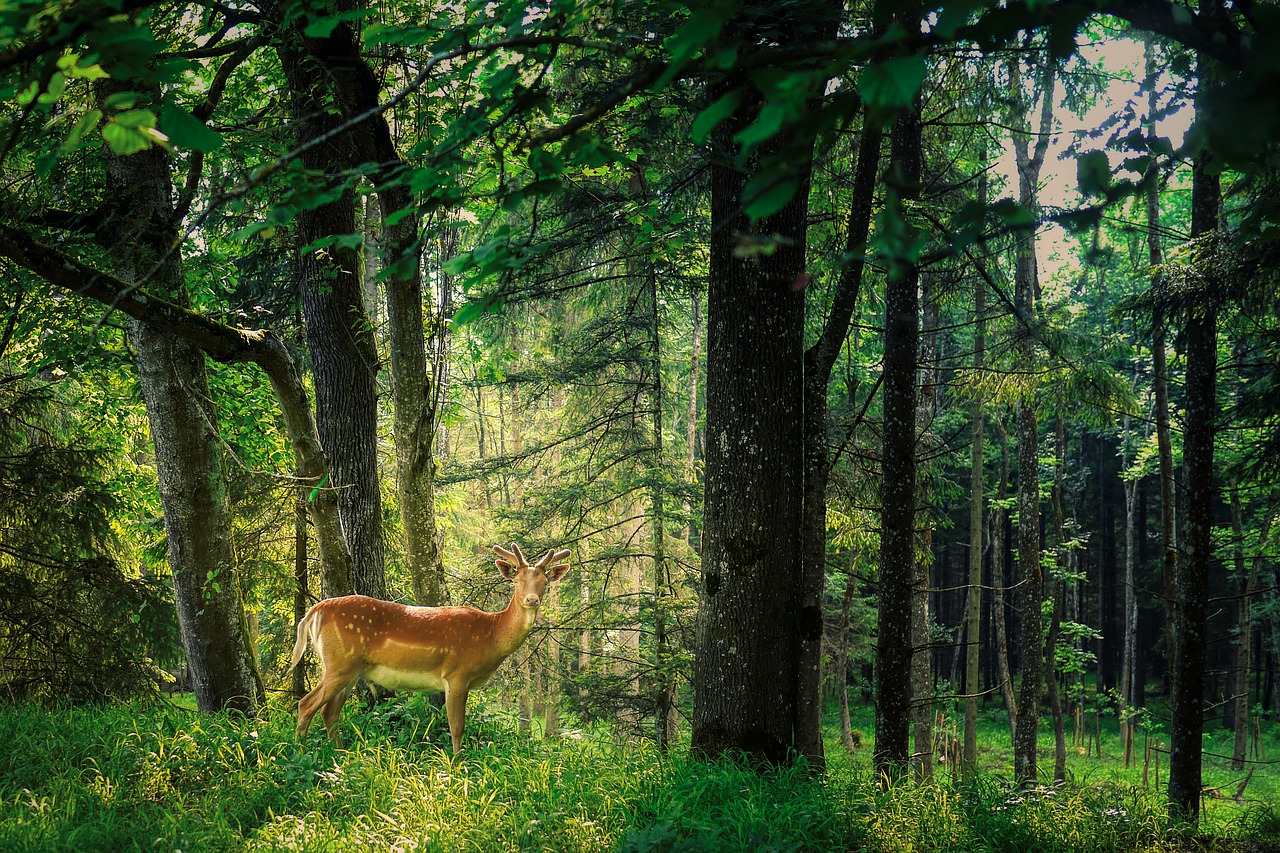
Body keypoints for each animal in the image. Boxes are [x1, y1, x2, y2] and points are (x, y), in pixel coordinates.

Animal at [293, 540, 573, 747]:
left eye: (544, 583)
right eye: (516, 581)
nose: (532, 599)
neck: (491, 636)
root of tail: (314, 612)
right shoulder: (457, 674)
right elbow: (457, 727)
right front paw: (456, 767)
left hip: (351, 669)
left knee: (329, 713)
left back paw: (338, 756)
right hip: (340, 662)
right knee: (306, 705)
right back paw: (300, 753)